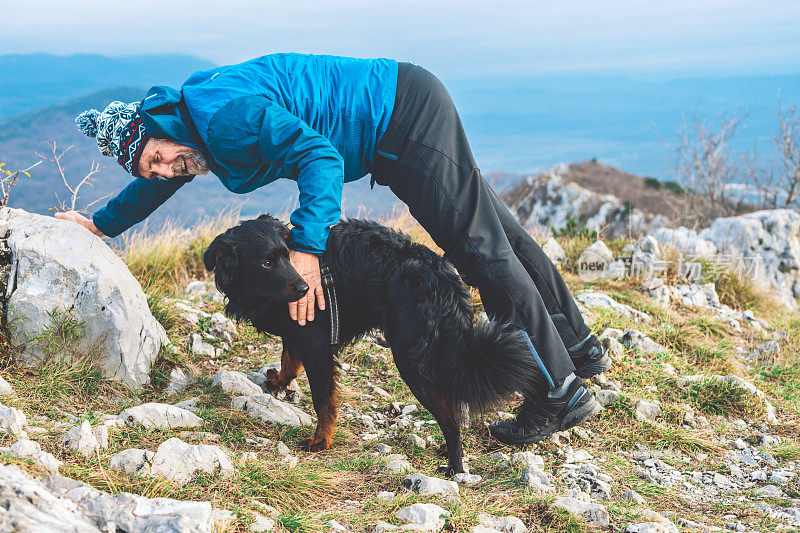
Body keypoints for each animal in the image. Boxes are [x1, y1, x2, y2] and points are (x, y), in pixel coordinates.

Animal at [203, 215, 548, 474]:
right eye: (266, 262)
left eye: (287, 257)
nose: (304, 289)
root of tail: (442, 276)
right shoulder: (297, 330)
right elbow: (290, 360)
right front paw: (278, 381)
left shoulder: (316, 344)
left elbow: (324, 399)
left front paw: (321, 440)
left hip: (411, 360)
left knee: (450, 418)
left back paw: (455, 465)